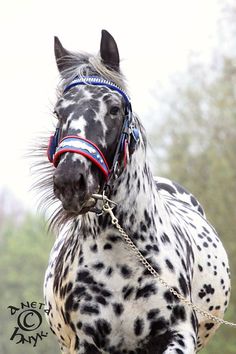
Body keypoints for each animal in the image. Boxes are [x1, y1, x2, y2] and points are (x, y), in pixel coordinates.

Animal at [37, 30, 231, 354]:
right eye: (58, 112)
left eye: (114, 109)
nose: (70, 182)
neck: (119, 262)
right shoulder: (86, 344)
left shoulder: (179, 335)